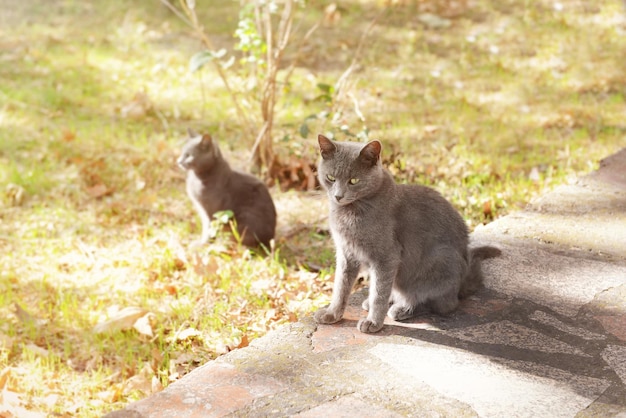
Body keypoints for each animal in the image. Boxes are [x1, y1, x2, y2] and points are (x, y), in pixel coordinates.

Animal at [314, 135, 500, 334]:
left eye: (354, 180)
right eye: (331, 178)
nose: (338, 196)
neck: (350, 212)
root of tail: (463, 282)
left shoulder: (387, 256)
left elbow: (379, 292)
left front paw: (373, 322)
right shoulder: (346, 253)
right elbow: (341, 286)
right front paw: (332, 314)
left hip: (440, 260)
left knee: (444, 304)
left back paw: (402, 308)